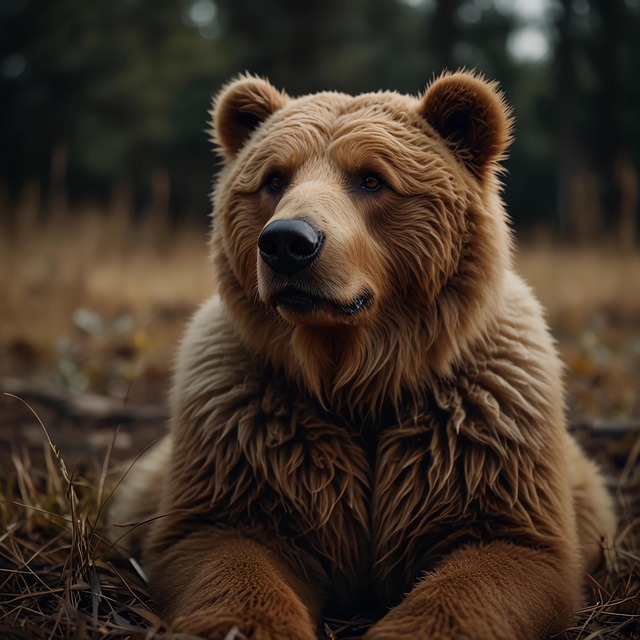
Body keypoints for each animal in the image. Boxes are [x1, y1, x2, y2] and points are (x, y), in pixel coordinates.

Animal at [110, 71, 617, 639]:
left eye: (371, 179)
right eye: (274, 179)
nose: (288, 243)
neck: (361, 376)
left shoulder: (484, 439)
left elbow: (500, 555)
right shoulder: (248, 434)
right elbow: (226, 544)